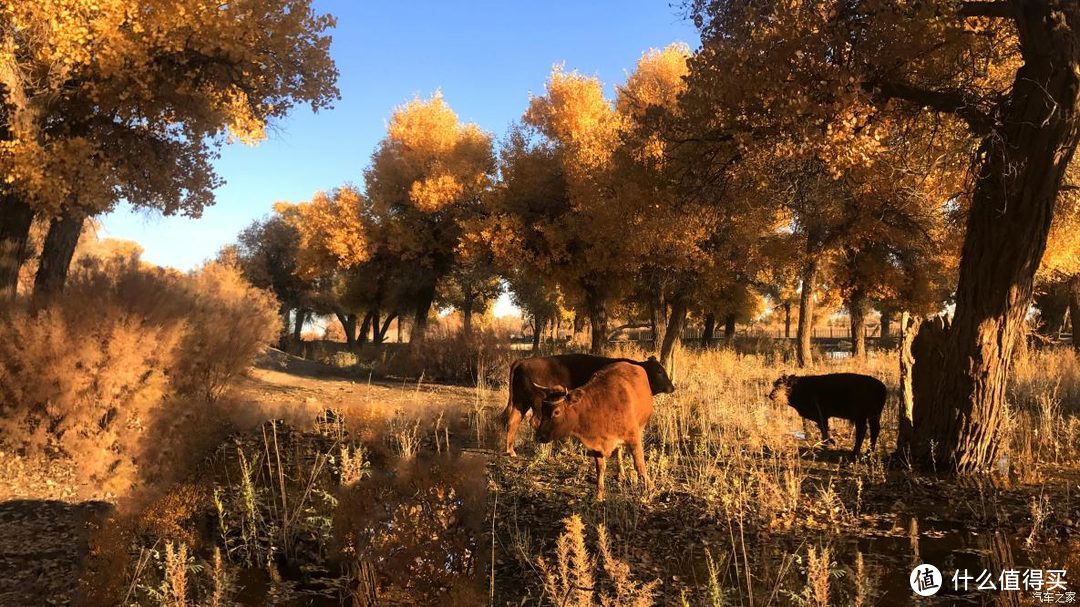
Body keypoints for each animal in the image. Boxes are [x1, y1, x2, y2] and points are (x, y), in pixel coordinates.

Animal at [498, 352, 669, 455]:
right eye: (659, 371)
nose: (671, 386)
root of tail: (522, 361)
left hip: (521, 402)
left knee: (513, 421)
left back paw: (511, 451)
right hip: (536, 403)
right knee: (535, 421)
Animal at [531, 360, 648, 498]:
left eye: (556, 412)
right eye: (542, 409)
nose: (539, 436)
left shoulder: (634, 438)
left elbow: (639, 465)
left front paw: (649, 488)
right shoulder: (597, 444)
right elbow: (600, 469)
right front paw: (599, 495)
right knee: (618, 451)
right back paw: (620, 474)